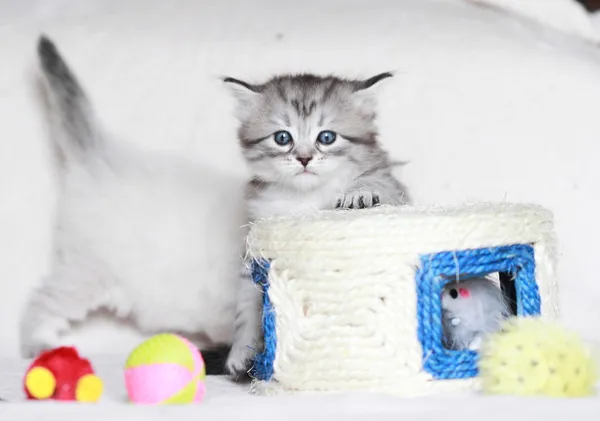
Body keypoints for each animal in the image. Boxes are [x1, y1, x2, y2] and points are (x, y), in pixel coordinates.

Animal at [223, 72, 410, 374]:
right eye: (282, 137)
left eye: (326, 137)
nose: (304, 158)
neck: (306, 197)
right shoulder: (255, 241)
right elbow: (246, 300)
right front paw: (241, 349)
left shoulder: (393, 187)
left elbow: (376, 183)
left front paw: (360, 192)